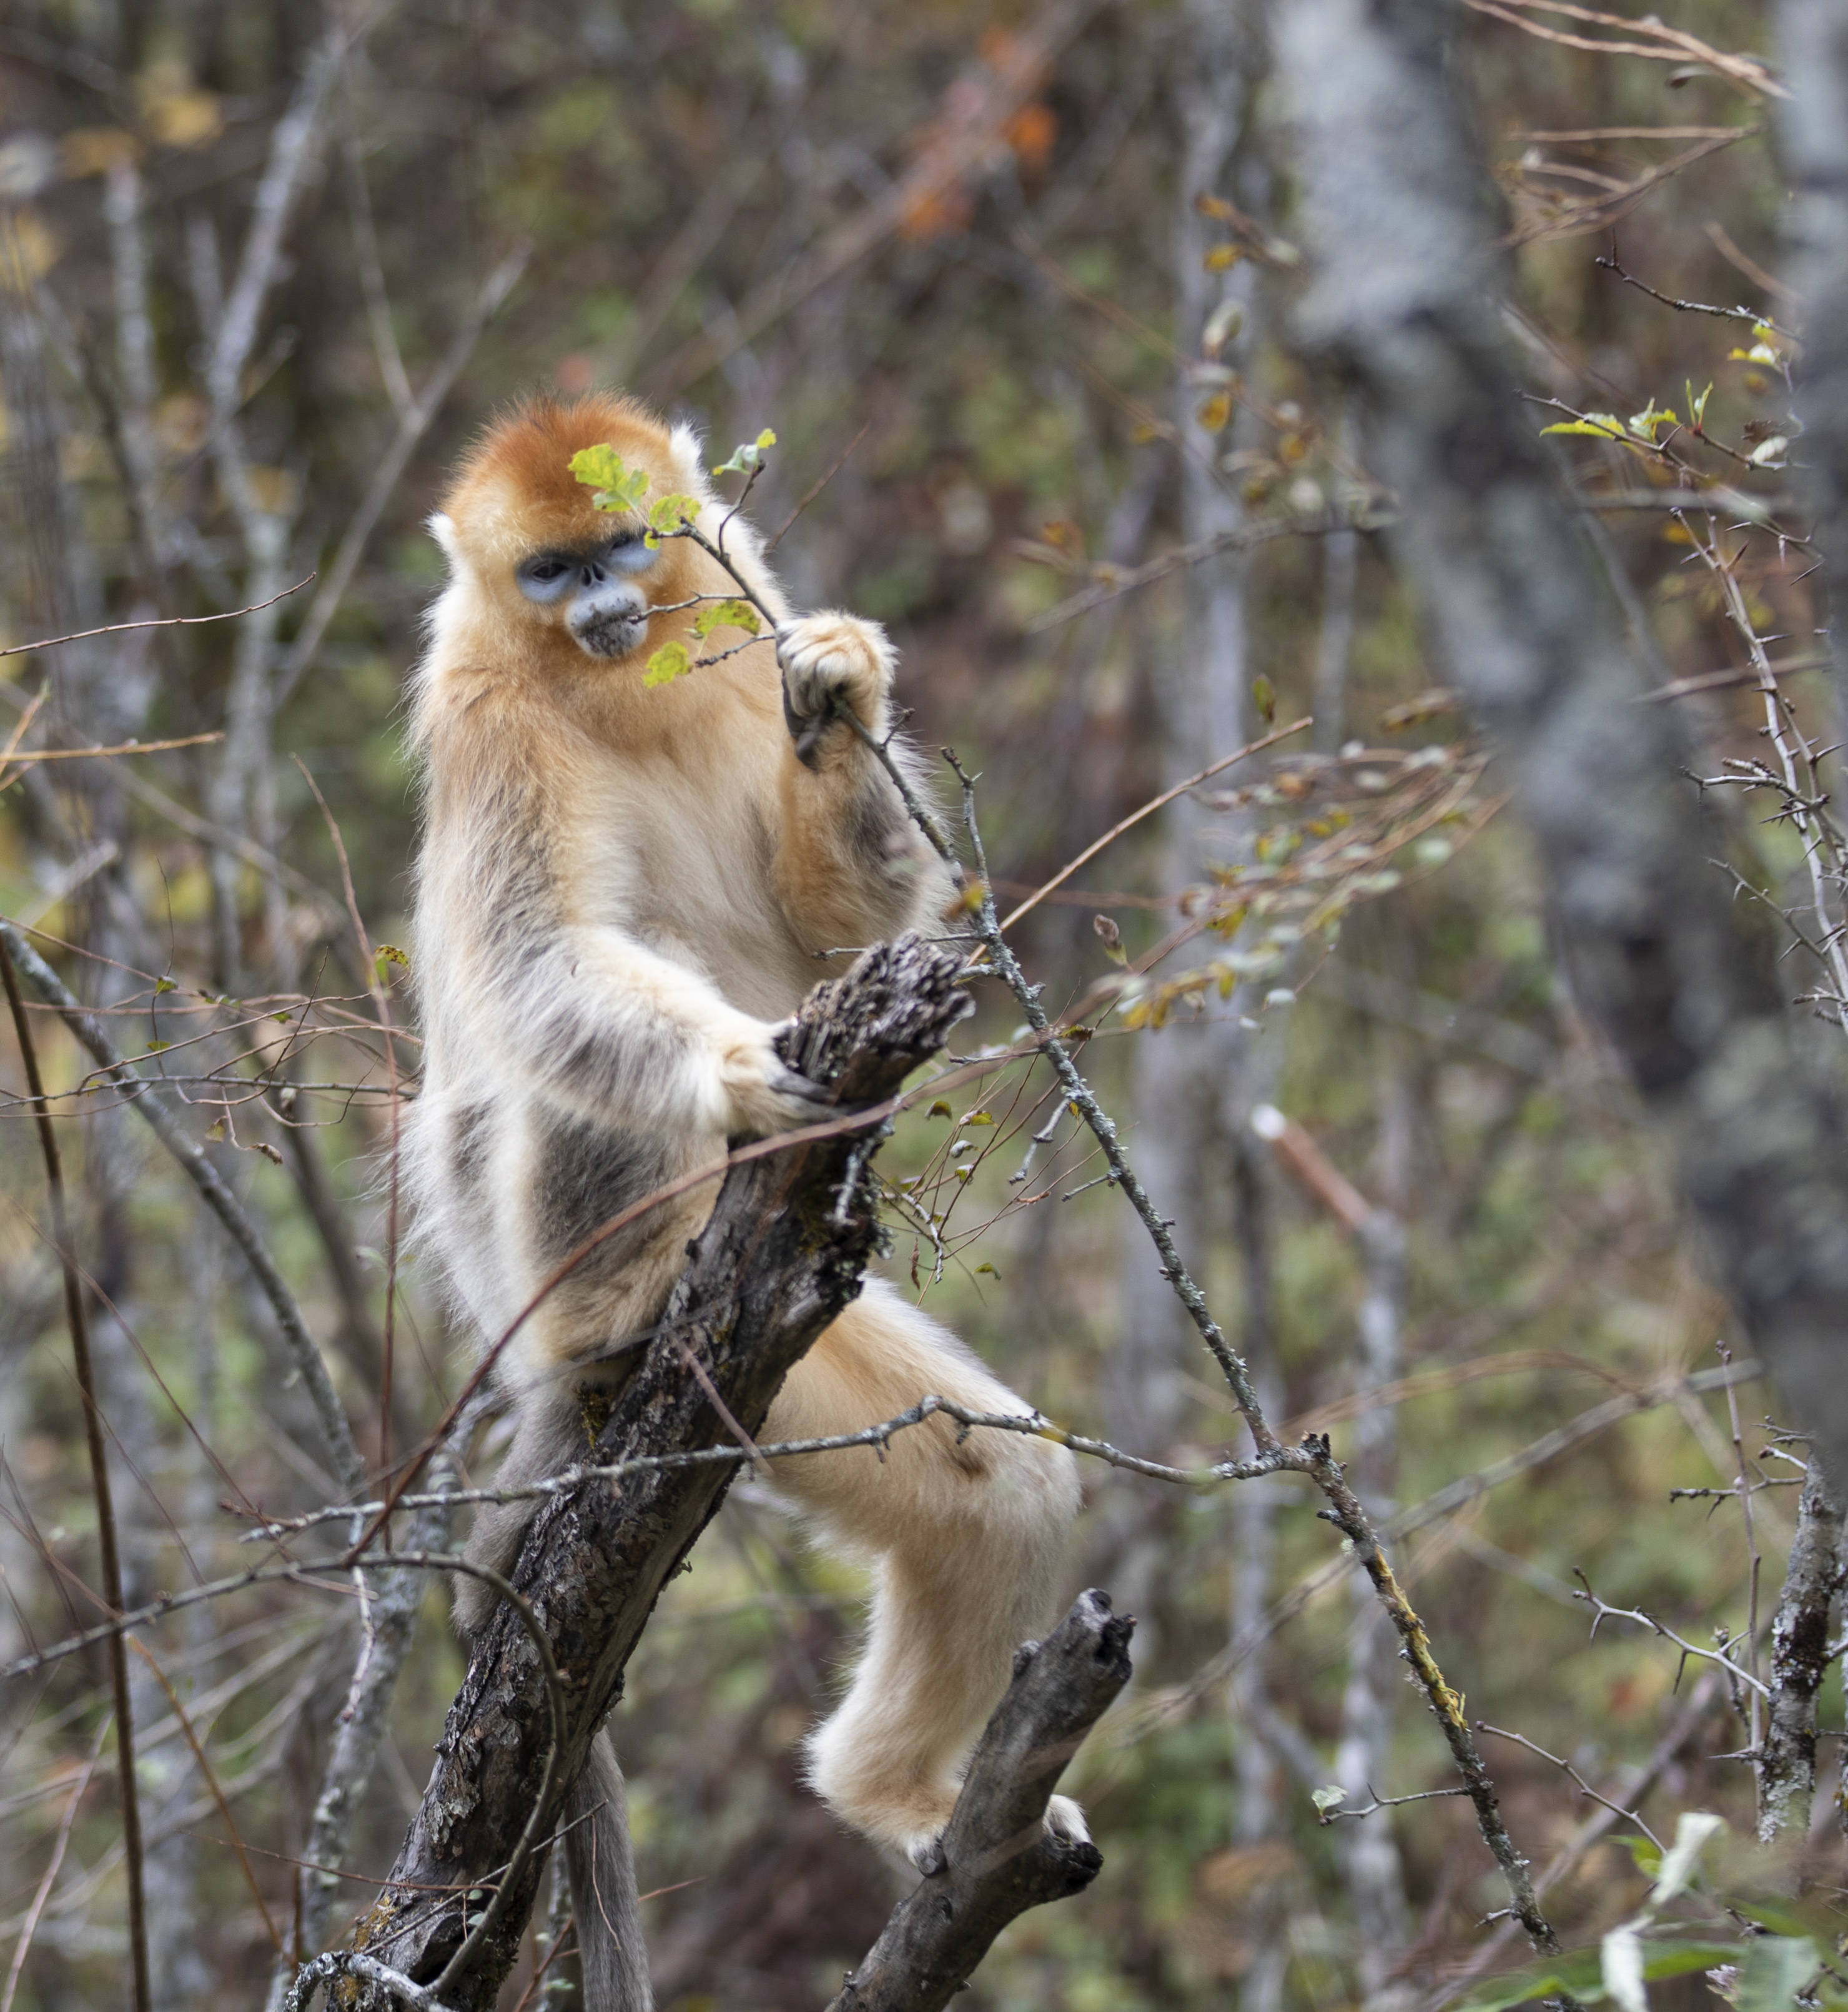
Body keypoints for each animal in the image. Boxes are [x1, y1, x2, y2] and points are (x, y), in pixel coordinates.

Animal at [398, 396, 1077, 2012]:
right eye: (549, 569)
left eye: (627, 541)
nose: (600, 605)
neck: (607, 683)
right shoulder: (482, 711)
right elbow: (539, 968)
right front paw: (748, 1074)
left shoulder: (742, 588)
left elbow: (835, 926)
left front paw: (840, 694)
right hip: (528, 1266)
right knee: (560, 1079)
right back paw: (625, 1296)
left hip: (792, 1375)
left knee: (1003, 1481)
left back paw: (895, 1799)